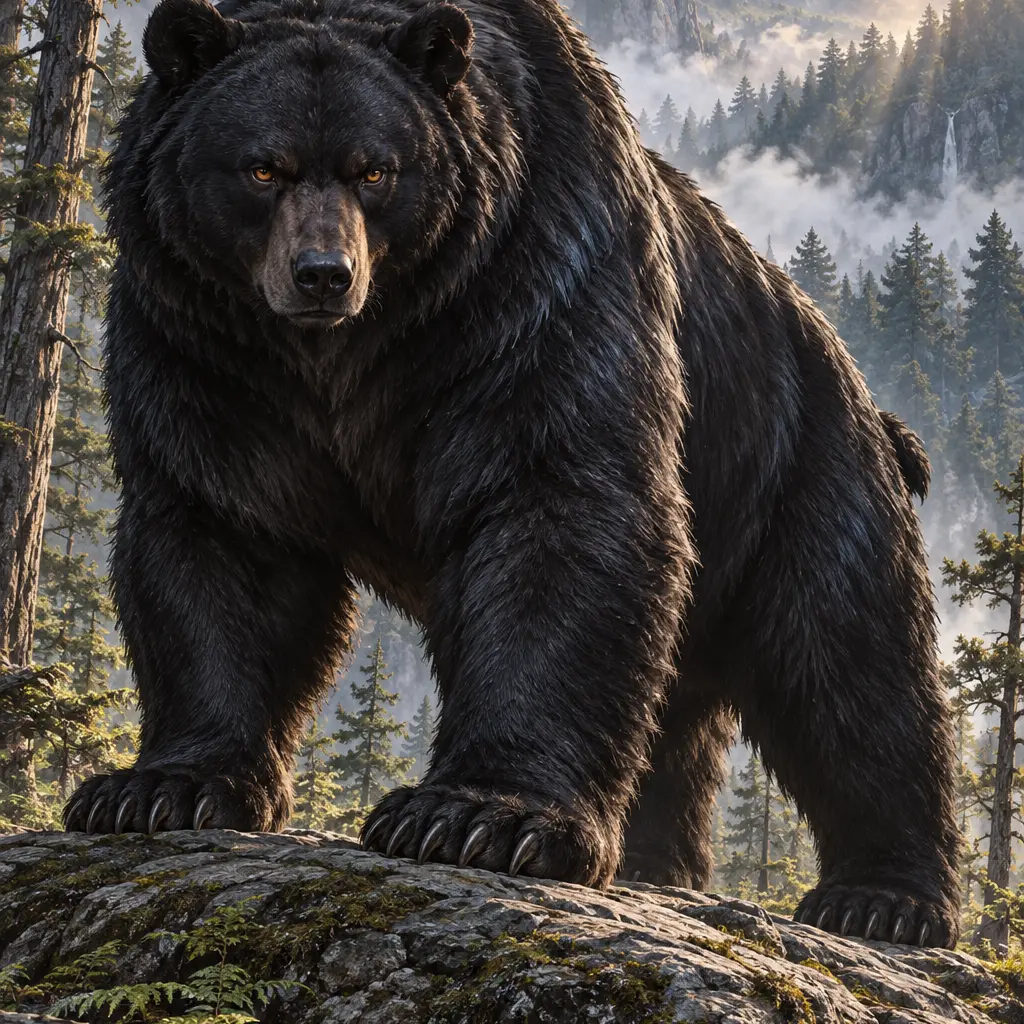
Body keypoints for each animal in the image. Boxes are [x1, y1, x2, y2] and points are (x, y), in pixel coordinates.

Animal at [64, 0, 962, 947]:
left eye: (376, 170)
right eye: (262, 167)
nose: (322, 276)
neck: (347, 350)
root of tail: (870, 401)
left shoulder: (529, 291)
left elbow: (557, 511)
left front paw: (478, 817)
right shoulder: (204, 347)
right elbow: (222, 538)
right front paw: (158, 788)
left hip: (797, 468)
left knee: (849, 668)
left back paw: (882, 898)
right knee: (681, 700)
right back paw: (656, 864)